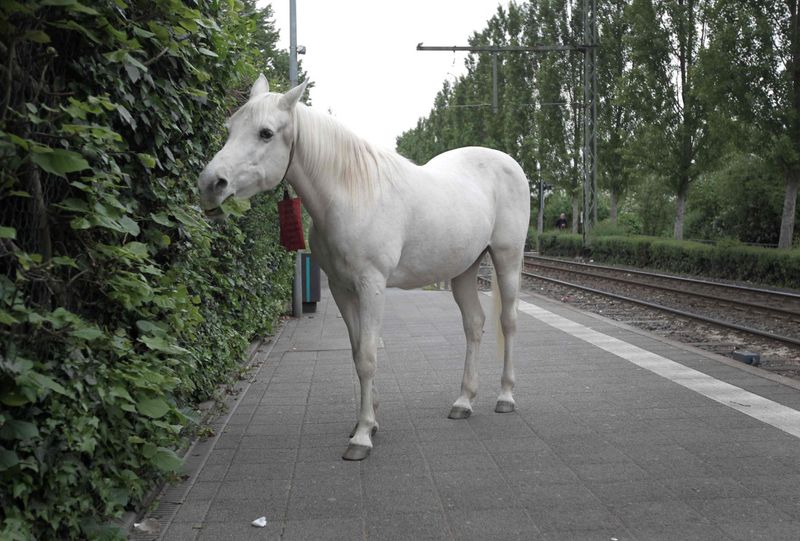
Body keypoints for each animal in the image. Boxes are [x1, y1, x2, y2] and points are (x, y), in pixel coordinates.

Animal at [198, 76, 531, 460]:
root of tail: (509, 163)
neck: (351, 193)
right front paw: (369, 422)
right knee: (474, 325)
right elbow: (357, 352)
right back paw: (463, 401)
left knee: (508, 322)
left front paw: (361, 438)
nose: (210, 184)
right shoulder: (342, 289)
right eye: (230, 128)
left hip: (507, 258)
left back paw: (505, 396)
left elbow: (369, 356)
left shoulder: (372, 285)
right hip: (464, 268)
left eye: (265, 133)